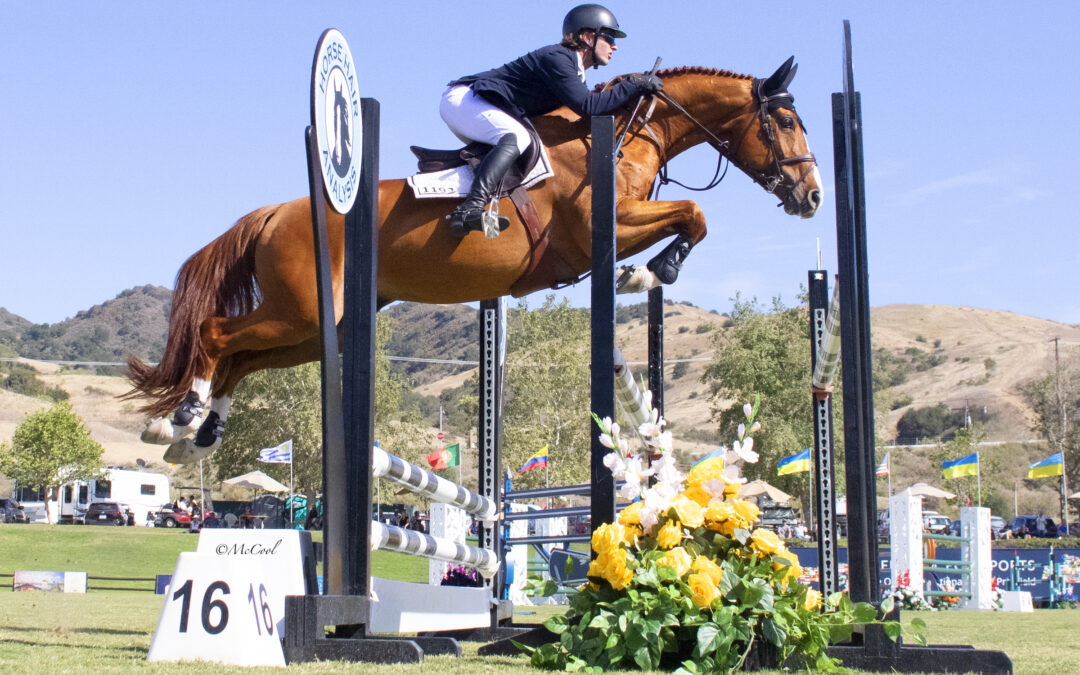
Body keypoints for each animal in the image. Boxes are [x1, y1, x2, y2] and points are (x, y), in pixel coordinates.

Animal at [126, 56, 816, 462]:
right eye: (785, 121)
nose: (810, 196)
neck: (623, 135)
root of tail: (276, 212)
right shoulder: (606, 224)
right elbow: (694, 214)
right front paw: (649, 271)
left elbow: (692, 217)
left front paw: (647, 271)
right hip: (301, 311)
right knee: (216, 333)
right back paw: (176, 420)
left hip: (321, 327)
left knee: (241, 357)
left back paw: (200, 436)